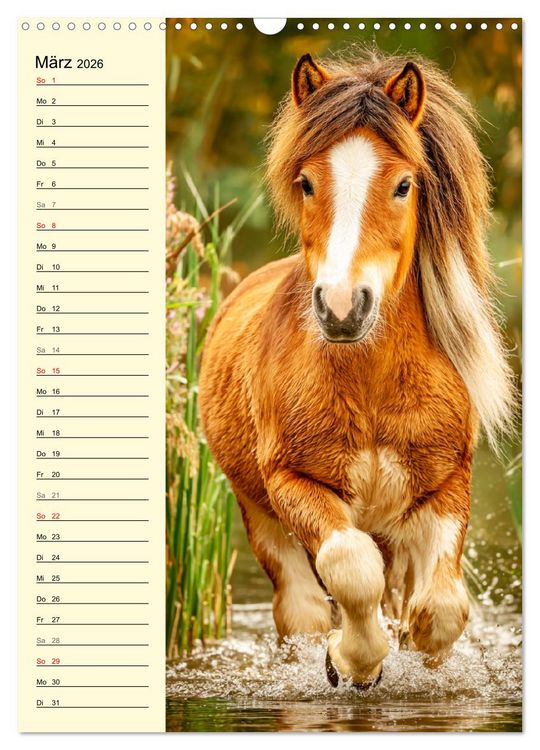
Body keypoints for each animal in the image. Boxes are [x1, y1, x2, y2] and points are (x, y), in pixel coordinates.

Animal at [199, 50, 516, 688]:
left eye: (404, 184)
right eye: (306, 182)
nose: (343, 307)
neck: (370, 384)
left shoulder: (447, 484)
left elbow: (442, 608)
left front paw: (417, 653)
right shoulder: (295, 483)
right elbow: (350, 566)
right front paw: (350, 660)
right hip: (261, 519)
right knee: (301, 606)